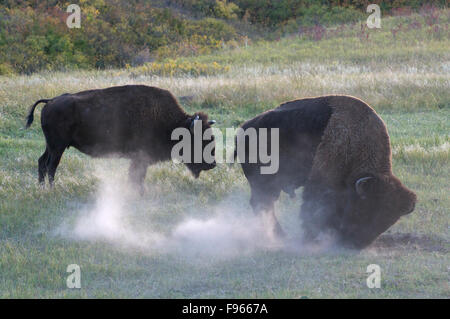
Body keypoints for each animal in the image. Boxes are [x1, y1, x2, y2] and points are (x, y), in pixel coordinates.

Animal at [25, 85, 216, 190]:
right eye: (200, 140)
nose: (212, 164)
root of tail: (50, 101)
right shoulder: (140, 158)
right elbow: (137, 176)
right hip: (58, 147)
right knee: (51, 166)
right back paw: (51, 189)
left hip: (51, 146)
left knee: (42, 162)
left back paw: (41, 188)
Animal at [237, 95, 416, 250]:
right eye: (365, 208)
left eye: (387, 222)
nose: (356, 244)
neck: (355, 140)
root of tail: (243, 129)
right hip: (265, 182)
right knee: (263, 204)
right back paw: (278, 236)